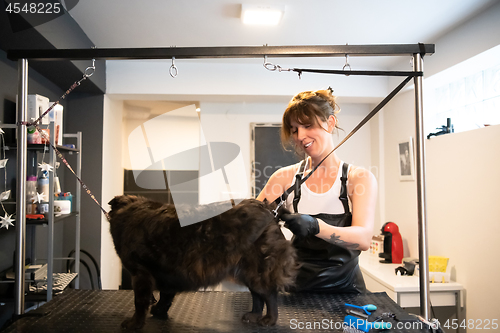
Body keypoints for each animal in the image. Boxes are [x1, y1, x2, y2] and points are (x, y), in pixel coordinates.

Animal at [108, 195, 296, 326]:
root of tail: (269, 210)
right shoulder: (169, 274)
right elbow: (165, 296)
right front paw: (159, 311)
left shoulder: (140, 273)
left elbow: (140, 302)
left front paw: (135, 324)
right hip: (246, 271)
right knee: (257, 296)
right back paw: (253, 316)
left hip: (257, 270)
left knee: (269, 294)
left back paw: (269, 319)